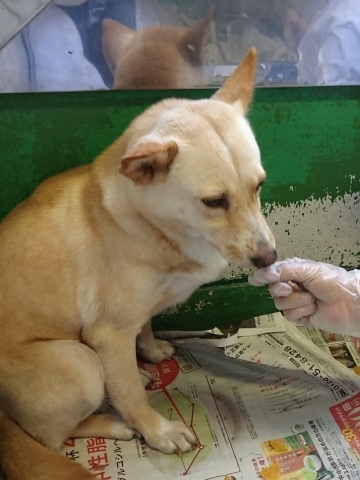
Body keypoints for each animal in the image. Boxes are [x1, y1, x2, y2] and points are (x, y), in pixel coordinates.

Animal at [0, 48, 278, 480]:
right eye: (214, 201)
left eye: (259, 185)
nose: (270, 257)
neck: (153, 226)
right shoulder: (108, 336)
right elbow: (129, 394)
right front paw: (158, 431)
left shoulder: (140, 310)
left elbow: (145, 326)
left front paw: (150, 351)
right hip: (79, 362)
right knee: (51, 437)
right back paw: (112, 424)